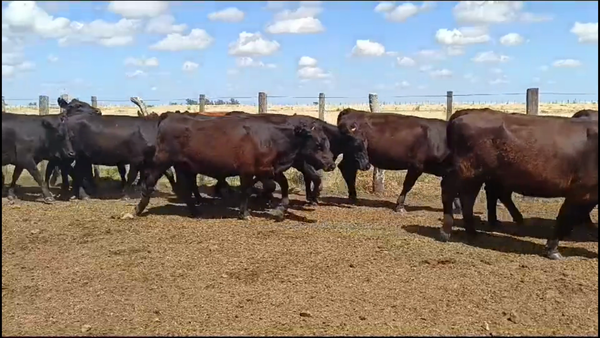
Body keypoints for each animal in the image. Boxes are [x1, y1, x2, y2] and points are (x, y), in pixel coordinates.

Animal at [135, 112, 338, 220]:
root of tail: (169, 116)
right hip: (162, 161)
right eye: (318, 144)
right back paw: (138, 209)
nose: (331, 164)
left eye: (327, 142)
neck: (270, 138)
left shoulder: (269, 169)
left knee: (185, 189)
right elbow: (248, 190)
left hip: (184, 167)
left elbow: (283, 185)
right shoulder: (248, 170)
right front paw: (245, 212)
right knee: (150, 182)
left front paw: (281, 209)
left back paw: (196, 211)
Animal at [438, 107, 596, 260]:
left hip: (477, 176)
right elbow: (565, 219)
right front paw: (552, 249)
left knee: (469, 198)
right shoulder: (581, 191)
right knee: (449, 191)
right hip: (466, 171)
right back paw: (446, 231)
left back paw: (472, 232)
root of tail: (468, 112)